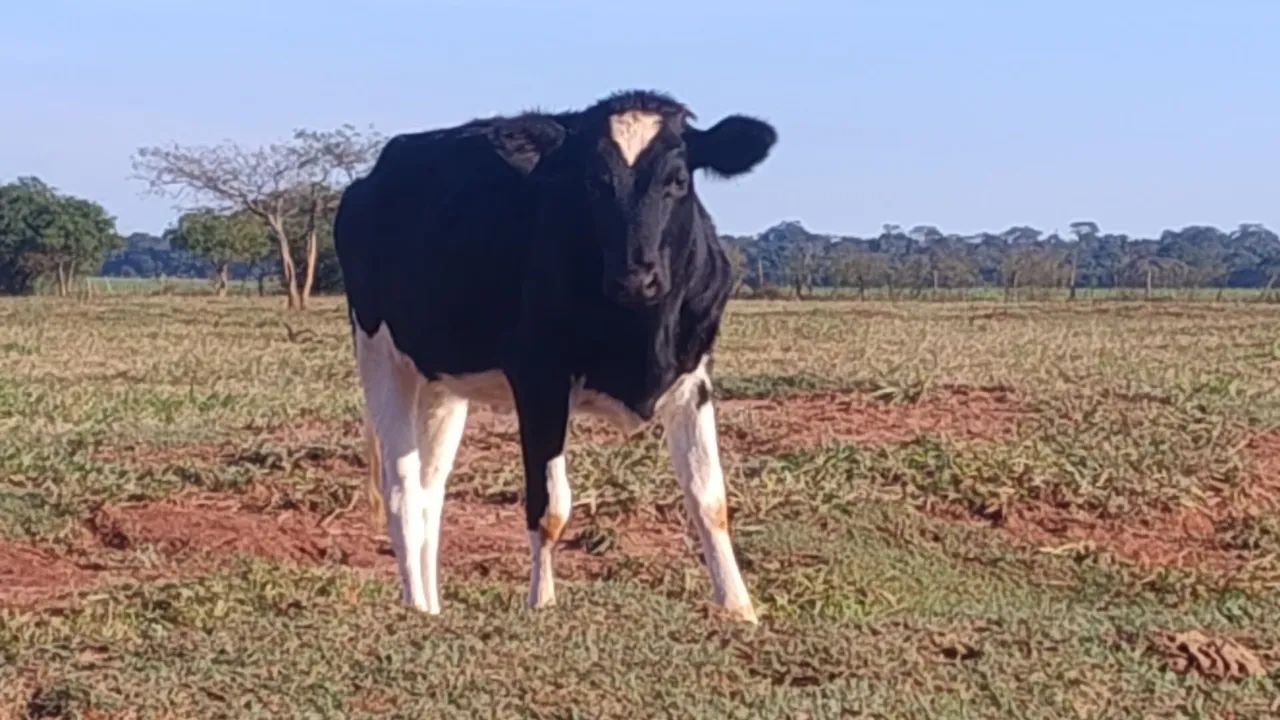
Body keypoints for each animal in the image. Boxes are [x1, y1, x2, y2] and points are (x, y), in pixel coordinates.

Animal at [334, 90, 775, 623]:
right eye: (593, 182)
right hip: (381, 353)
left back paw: (434, 606)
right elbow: (550, 508)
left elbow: (710, 499)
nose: (635, 277)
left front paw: (740, 609)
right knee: (401, 489)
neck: (641, 331)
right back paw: (417, 607)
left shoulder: (695, 380)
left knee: (429, 491)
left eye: (678, 179)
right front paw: (541, 604)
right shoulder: (538, 380)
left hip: (442, 383)